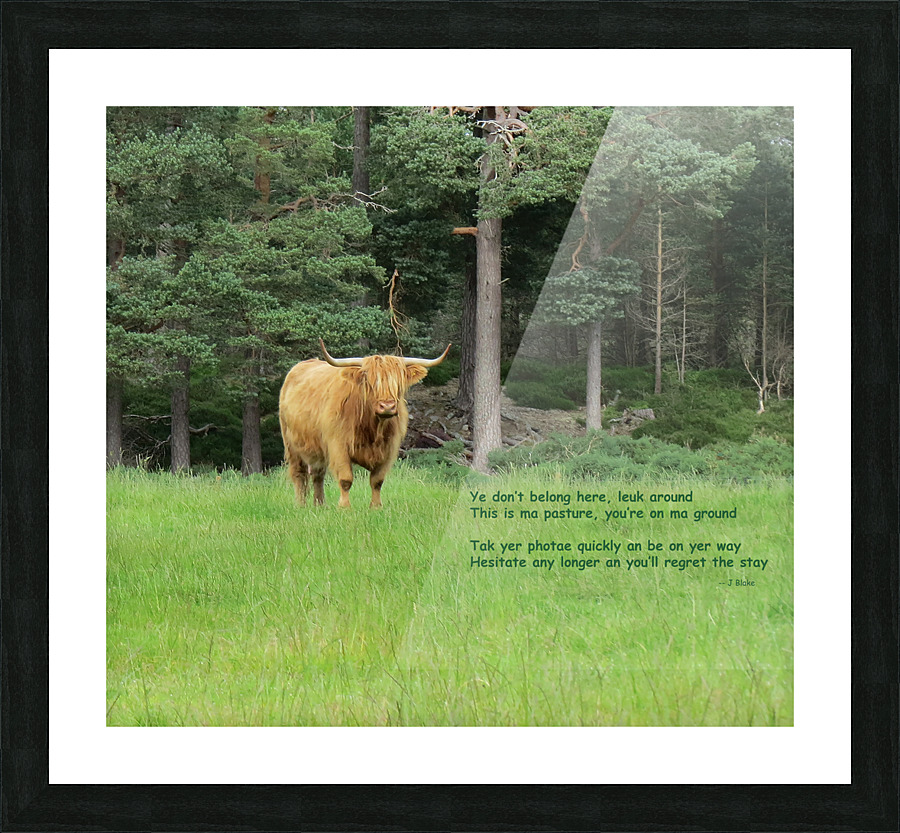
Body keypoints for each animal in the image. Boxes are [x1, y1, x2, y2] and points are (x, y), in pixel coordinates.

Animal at [279, 339, 450, 508]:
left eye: (398, 382)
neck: (373, 428)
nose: (387, 406)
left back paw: (320, 505)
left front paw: (375, 507)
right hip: (291, 445)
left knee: (317, 474)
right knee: (299, 474)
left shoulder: (389, 448)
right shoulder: (338, 445)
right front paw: (345, 507)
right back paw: (301, 505)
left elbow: (377, 481)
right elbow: (346, 479)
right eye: (370, 381)